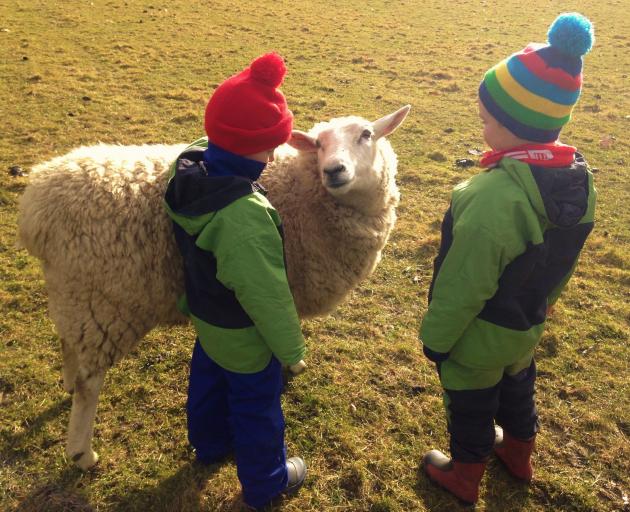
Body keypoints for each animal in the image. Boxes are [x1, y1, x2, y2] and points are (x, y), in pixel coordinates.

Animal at [17, 106, 412, 470]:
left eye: (366, 134)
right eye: (318, 144)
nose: (333, 170)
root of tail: (36, 211)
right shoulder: (283, 283)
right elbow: (284, 324)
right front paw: (294, 363)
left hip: (73, 296)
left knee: (66, 342)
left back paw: (67, 383)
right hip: (103, 304)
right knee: (90, 383)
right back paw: (82, 453)